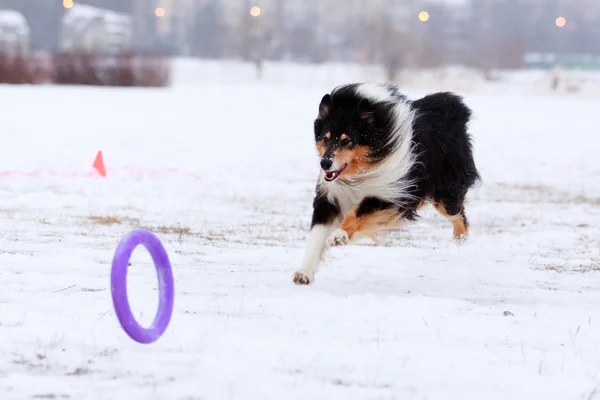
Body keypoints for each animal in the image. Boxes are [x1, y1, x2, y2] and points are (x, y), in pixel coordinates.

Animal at [292, 83, 480, 286]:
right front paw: (304, 273)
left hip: (445, 196)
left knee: (459, 215)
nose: (325, 163)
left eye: (346, 140)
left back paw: (460, 239)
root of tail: (453, 109)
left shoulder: (390, 192)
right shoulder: (330, 196)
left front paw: (339, 236)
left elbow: (356, 214)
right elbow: (317, 236)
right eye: (325, 138)